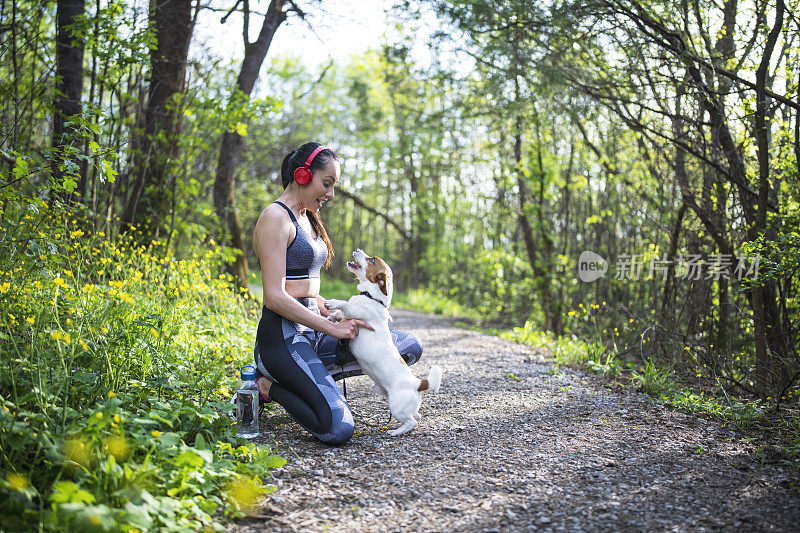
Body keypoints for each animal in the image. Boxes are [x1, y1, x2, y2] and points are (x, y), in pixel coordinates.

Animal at [324, 247, 444, 434]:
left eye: (372, 260)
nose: (357, 249)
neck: (372, 298)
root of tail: (418, 383)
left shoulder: (355, 313)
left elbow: (345, 305)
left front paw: (333, 303)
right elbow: (340, 314)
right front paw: (333, 316)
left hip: (396, 406)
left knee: (412, 422)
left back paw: (395, 431)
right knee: (417, 416)